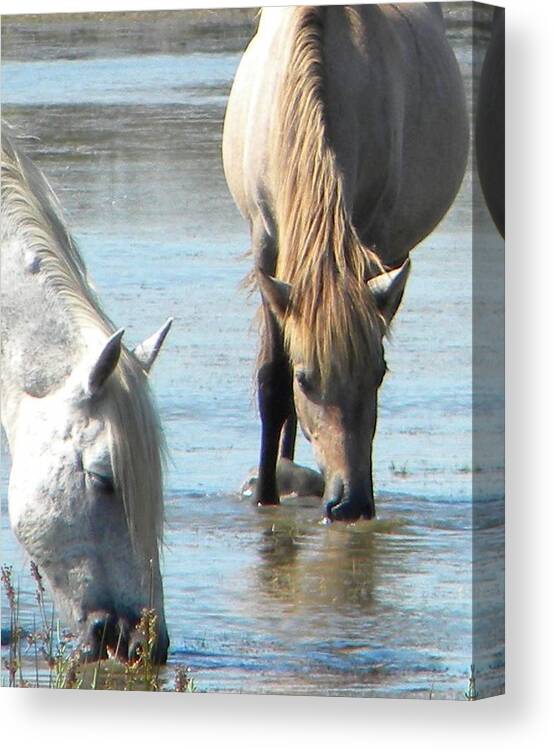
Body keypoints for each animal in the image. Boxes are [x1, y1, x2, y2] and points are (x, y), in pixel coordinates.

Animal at [222, 5, 468, 524]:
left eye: (379, 373)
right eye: (307, 379)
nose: (349, 503)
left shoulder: (372, 238)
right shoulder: (266, 242)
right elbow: (273, 380)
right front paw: (265, 494)